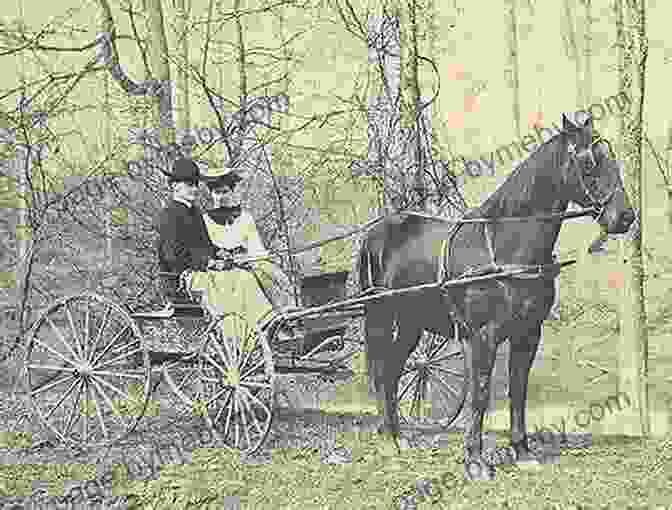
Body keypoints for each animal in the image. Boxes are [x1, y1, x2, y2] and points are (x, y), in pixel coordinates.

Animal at [356, 113, 636, 480]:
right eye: (589, 162)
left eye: (612, 157)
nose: (625, 217)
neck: (507, 248)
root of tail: (375, 231)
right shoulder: (483, 336)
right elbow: (481, 393)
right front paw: (475, 461)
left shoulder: (528, 334)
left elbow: (518, 390)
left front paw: (522, 452)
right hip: (379, 316)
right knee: (380, 371)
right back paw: (388, 438)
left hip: (410, 323)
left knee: (391, 371)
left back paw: (397, 436)